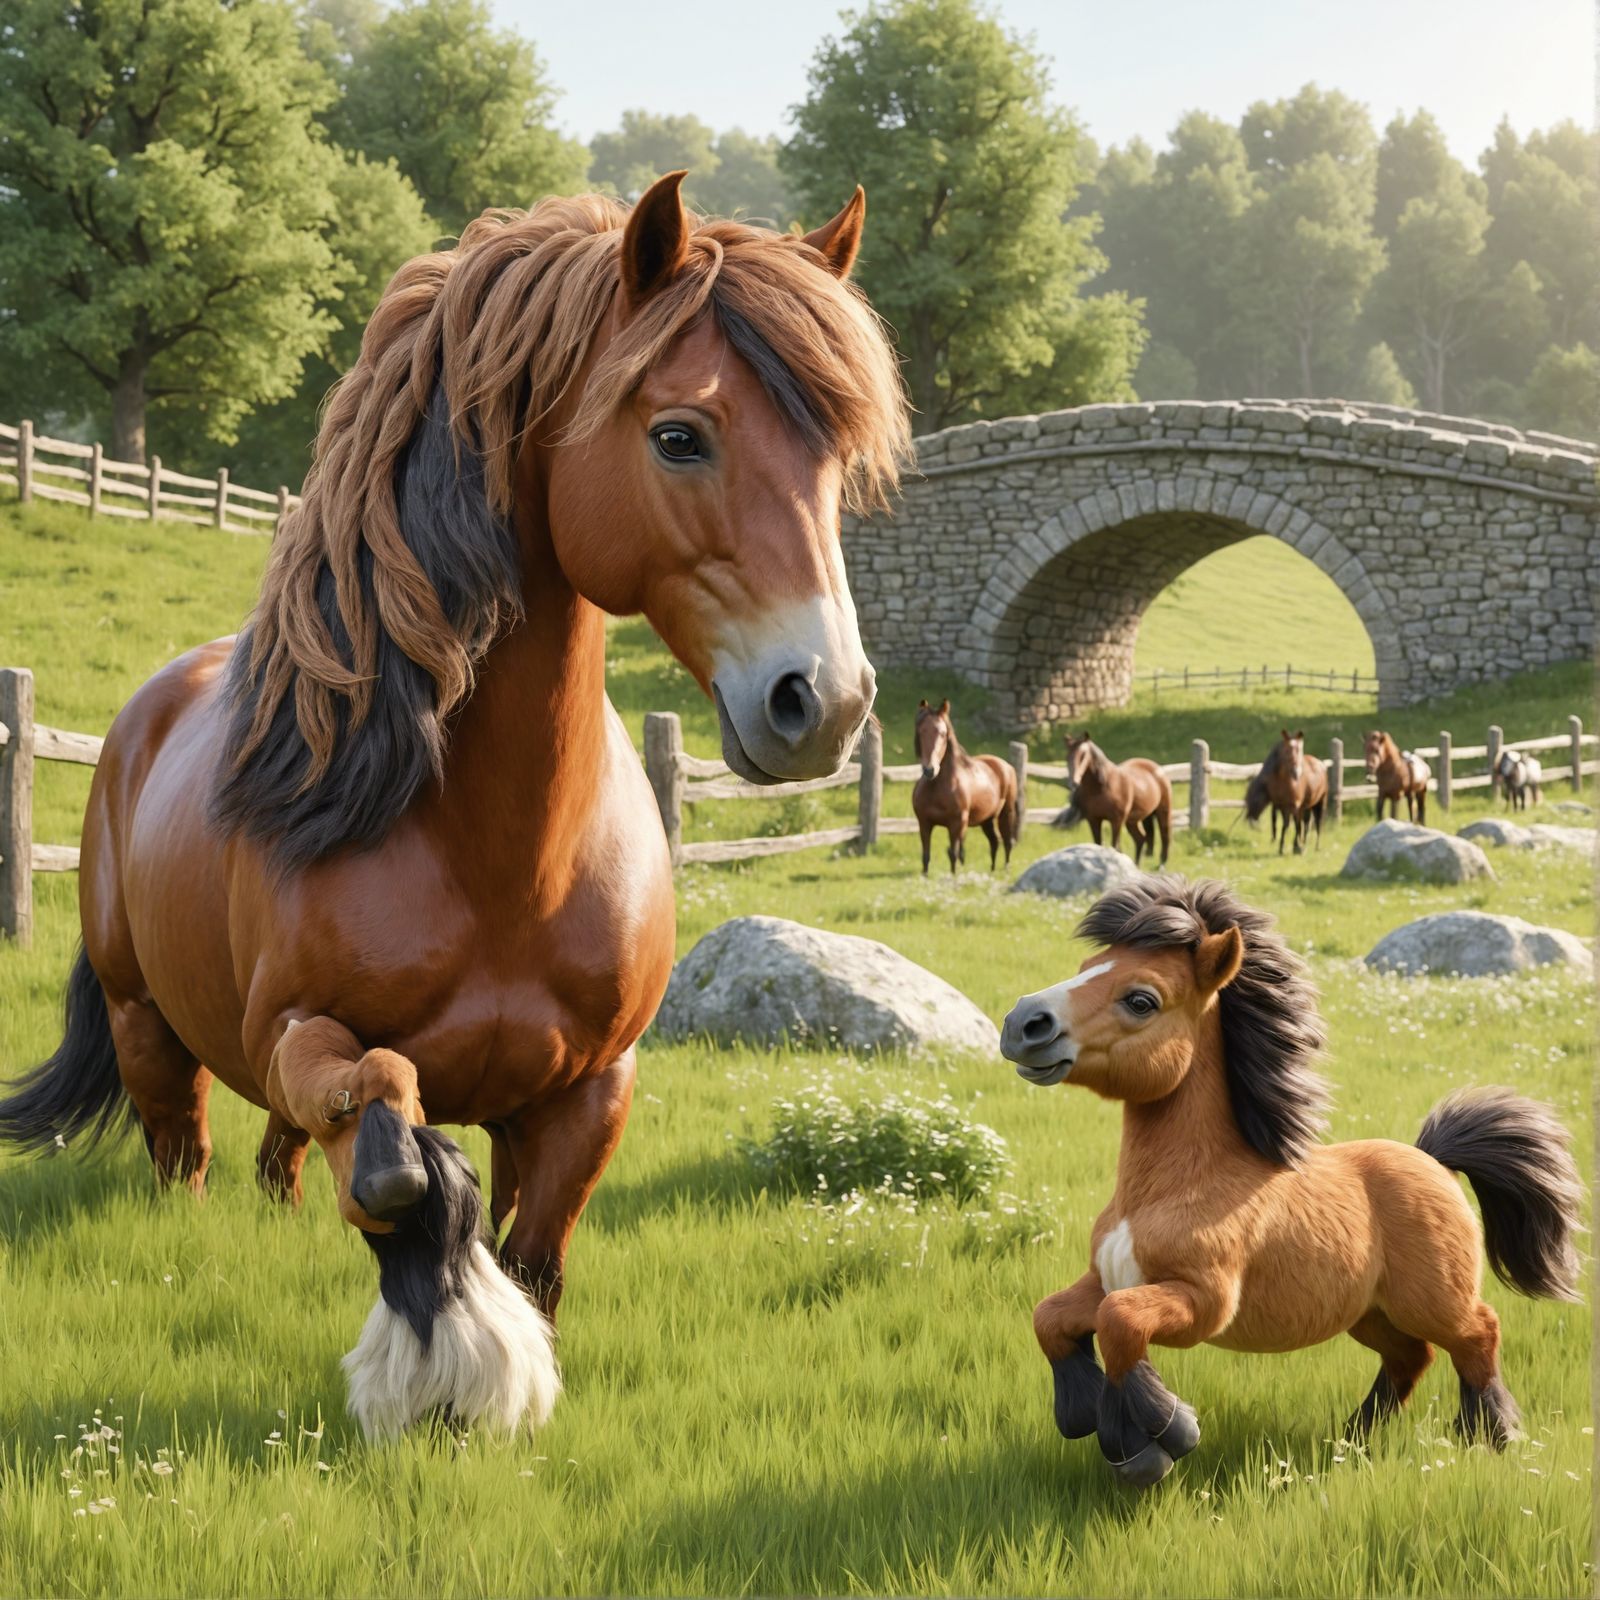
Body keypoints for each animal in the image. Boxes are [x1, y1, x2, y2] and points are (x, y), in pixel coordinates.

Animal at [0, 173, 910, 1438]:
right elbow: (390, 1148)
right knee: (188, 1156)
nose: (821, 702)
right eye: (679, 435)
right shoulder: (305, 1033)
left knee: (278, 1162)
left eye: (835, 462)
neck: (499, 855)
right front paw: (447, 1341)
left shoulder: (590, 1089)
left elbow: (536, 1252)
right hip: (148, 1028)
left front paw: (506, 1354)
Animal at [911, 699, 1017, 874]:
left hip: (1005, 814)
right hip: (987, 820)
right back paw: (992, 871)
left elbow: (954, 855)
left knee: (1008, 842)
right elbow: (926, 857)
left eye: (942, 733)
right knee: (994, 842)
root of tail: (1006, 766)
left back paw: (1006, 870)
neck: (937, 788)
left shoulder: (956, 824)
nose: (929, 770)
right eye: (920, 731)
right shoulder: (924, 824)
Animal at [999, 875, 1582, 1488]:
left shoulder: (1202, 1301)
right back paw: (1351, 1441)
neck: (1176, 1189)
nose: (1022, 1024)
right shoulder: (1104, 1279)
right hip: (1368, 1313)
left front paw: (1157, 1442)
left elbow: (1119, 1324)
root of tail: (1434, 1161)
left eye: (1141, 999)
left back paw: (1491, 1437)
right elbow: (1052, 1318)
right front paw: (1087, 1417)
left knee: (1478, 1335)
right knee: (1409, 1358)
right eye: (1089, 964)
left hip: (1433, 1301)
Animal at [1054, 732, 1172, 867]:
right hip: (1132, 821)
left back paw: (1161, 865)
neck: (1101, 788)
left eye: (1083, 755)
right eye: (1067, 756)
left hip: (1163, 811)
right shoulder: (1094, 820)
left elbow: (1115, 847)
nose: (1073, 783)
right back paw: (1137, 866)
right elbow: (1098, 844)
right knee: (1141, 839)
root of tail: (1156, 767)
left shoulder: (1116, 820)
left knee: (1165, 835)